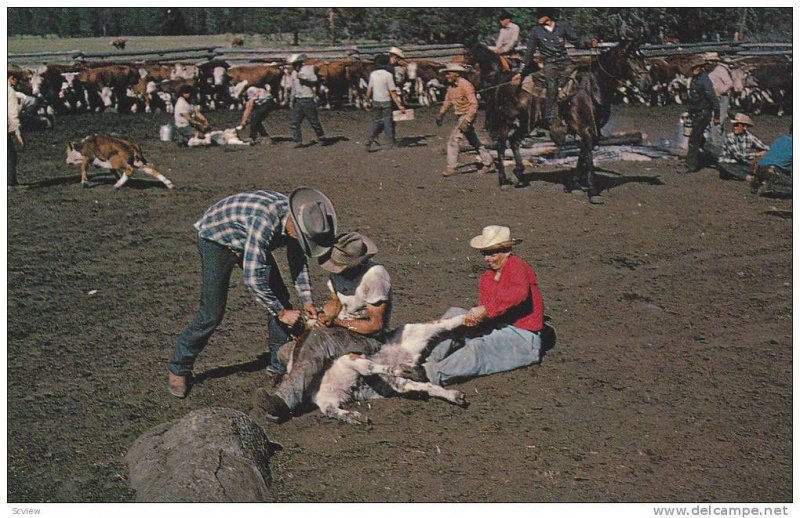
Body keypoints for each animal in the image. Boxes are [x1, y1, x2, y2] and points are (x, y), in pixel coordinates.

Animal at [286, 314, 468, 424]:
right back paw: (453, 395)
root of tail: (406, 355)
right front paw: (354, 417)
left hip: (416, 330)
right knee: (425, 386)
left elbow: (369, 367)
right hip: (397, 383)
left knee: (445, 323)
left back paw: (470, 316)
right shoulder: (326, 400)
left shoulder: (349, 359)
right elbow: (331, 411)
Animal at [468, 40, 648, 205]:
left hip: (528, 123)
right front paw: (593, 192)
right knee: (501, 145)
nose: (646, 82)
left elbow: (583, 156)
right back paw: (504, 181)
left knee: (514, 141)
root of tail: (504, 77)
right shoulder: (586, 129)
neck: (592, 88)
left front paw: (575, 185)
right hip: (507, 119)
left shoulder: (592, 131)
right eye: (631, 57)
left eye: (641, 56)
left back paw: (518, 175)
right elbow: (588, 158)